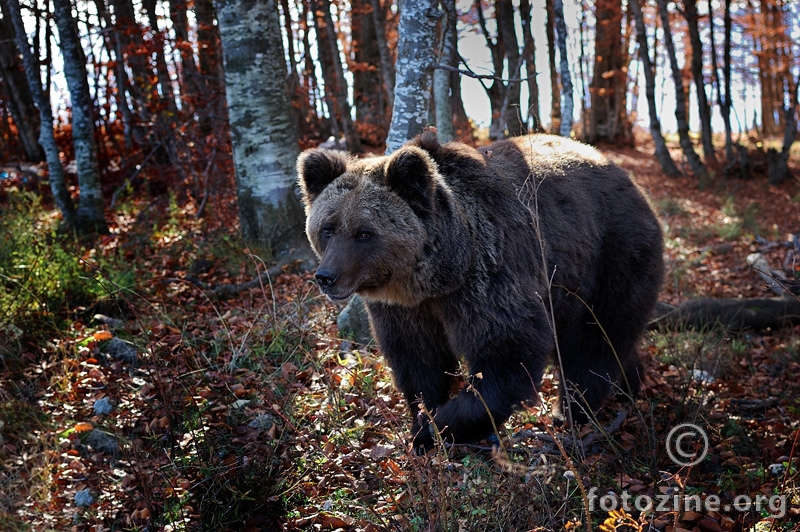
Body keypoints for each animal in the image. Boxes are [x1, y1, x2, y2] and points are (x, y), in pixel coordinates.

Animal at [294, 133, 664, 448]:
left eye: (364, 233)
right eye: (327, 228)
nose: (326, 276)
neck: (437, 277)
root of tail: (631, 182)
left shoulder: (488, 276)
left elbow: (507, 353)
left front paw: (441, 427)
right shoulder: (405, 309)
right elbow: (417, 360)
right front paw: (422, 422)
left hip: (609, 256)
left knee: (595, 338)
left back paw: (574, 410)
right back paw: (629, 384)